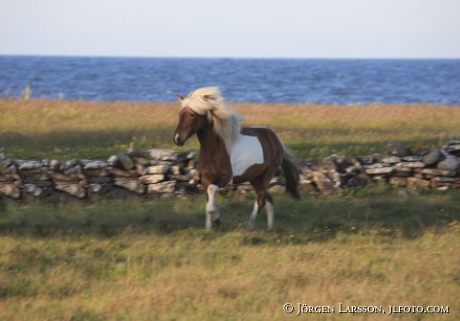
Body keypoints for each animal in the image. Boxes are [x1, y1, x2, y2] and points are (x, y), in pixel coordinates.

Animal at [172, 86, 302, 229]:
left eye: (192, 114)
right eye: (179, 114)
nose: (177, 139)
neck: (215, 149)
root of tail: (276, 140)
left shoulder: (226, 179)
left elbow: (211, 195)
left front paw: (217, 220)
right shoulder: (206, 179)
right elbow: (208, 201)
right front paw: (209, 227)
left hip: (266, 175)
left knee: (261, 200)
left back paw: (249, 226)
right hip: (255, 178)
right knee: (268, 199)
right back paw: (270, 228)